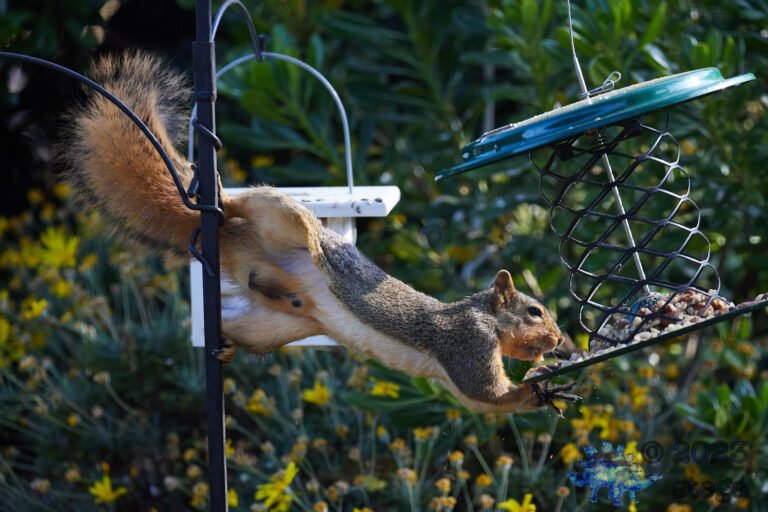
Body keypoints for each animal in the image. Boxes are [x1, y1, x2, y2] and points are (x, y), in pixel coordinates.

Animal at [60, 51, 579, 414]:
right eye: (534, 312)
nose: (559, 341)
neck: (485, 316)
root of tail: (235, 242)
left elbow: (485, 402)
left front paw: (542, 394)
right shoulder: (467, 342)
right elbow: (485, 390)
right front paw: (542, 386)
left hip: (276, 326)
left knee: (246, 327)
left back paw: (225, 346)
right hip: (285, 218)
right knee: (247, 206)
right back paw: (221, 197)